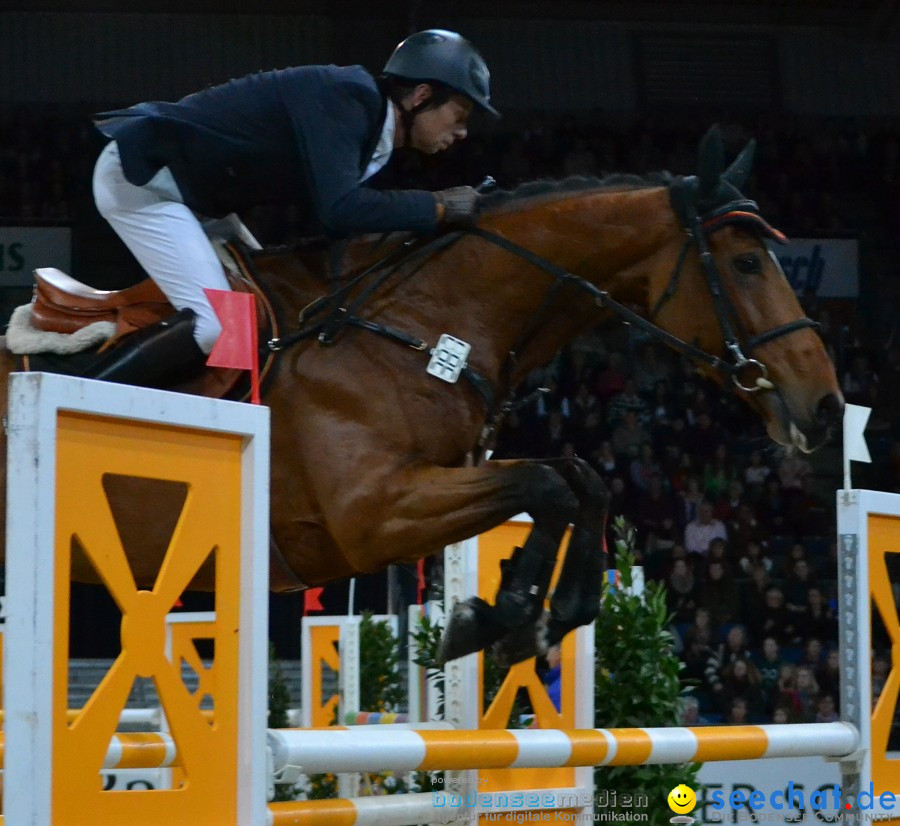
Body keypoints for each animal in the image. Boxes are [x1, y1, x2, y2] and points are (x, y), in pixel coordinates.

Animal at [0, 127, 840, 664]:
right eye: (745, 262)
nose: (828, 405)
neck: (427, 321)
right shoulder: (376, 514)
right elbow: (548, 485)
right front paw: (493, 622)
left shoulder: (441, 483)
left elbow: (581, 480)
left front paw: (542, 619)